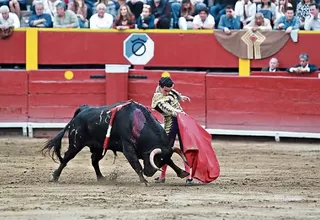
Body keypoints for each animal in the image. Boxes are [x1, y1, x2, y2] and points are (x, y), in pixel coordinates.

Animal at [41, 102, 189, 186]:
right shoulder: (128, 147)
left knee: (94, 161)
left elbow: (171, 162)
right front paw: (144, 181)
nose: (149, 173)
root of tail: (82, 110)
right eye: (157, 159)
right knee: (66, 158)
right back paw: (54, 177)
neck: (139, 123)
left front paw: (182, 173)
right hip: (76, 143)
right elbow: (136, 164)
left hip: (98, 147)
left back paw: (101, 178)